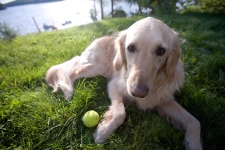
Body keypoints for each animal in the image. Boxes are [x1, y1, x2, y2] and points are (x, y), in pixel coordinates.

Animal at [45, 17, 202, 149]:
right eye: (131, 47)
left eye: (161, 50)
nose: (138, 92)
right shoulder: (113, 85)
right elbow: (120, 112)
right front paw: (103, 132)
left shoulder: (164, 99)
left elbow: (195, 121)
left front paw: (193, 143)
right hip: (96, 67)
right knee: (71, 72)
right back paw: (68, 91)